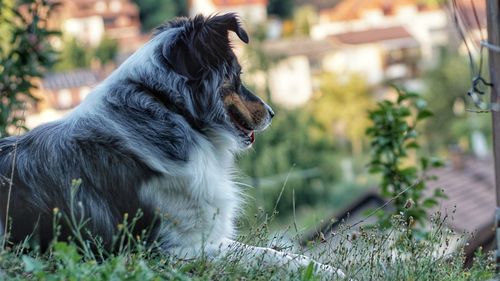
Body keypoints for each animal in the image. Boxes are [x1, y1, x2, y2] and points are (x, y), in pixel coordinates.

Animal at [0, 12, 344, 276]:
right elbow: (262, 254)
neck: (169, 108)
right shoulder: (174, 250)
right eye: (238, 74)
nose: (272, 113)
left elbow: (267, 249)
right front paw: (326, 272)